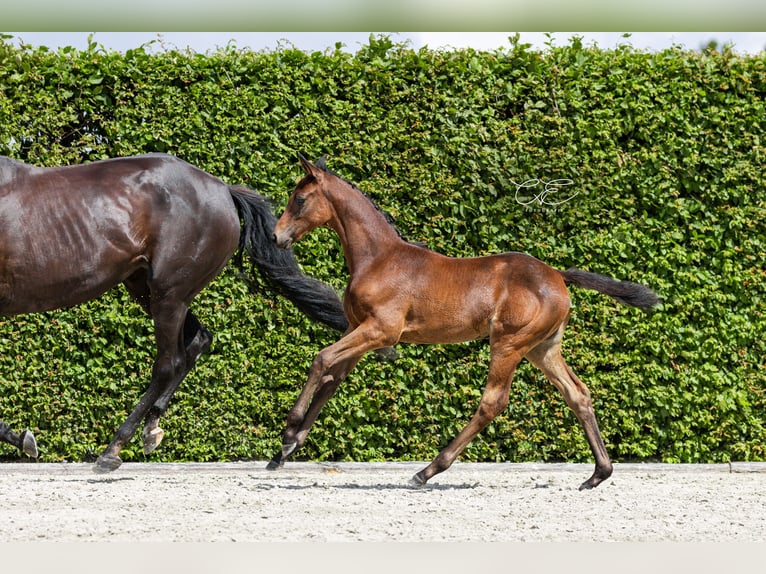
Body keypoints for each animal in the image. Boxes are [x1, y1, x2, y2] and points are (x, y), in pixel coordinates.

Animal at [0, 153, 352, 472]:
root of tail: (223, 189)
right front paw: (21, 438)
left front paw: (21, 438)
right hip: (152, 289)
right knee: (198, 340)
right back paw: (150, 428)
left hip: (168, 293)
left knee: (168, 363)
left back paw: (114, 449)